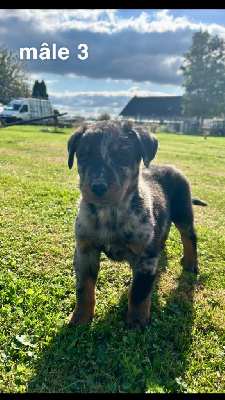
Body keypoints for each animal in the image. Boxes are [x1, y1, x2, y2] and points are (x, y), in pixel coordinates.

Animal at [67, 120, 207, 330]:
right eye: (83, 156)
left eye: (122, 156)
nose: (98, 187)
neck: (111, 214)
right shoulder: (85, 251)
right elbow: (84, 289)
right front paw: (80, 318)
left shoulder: (145, 258)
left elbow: (139, 293)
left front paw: (136, 323)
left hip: (183, 212)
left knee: (189, 236)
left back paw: (191, 263)